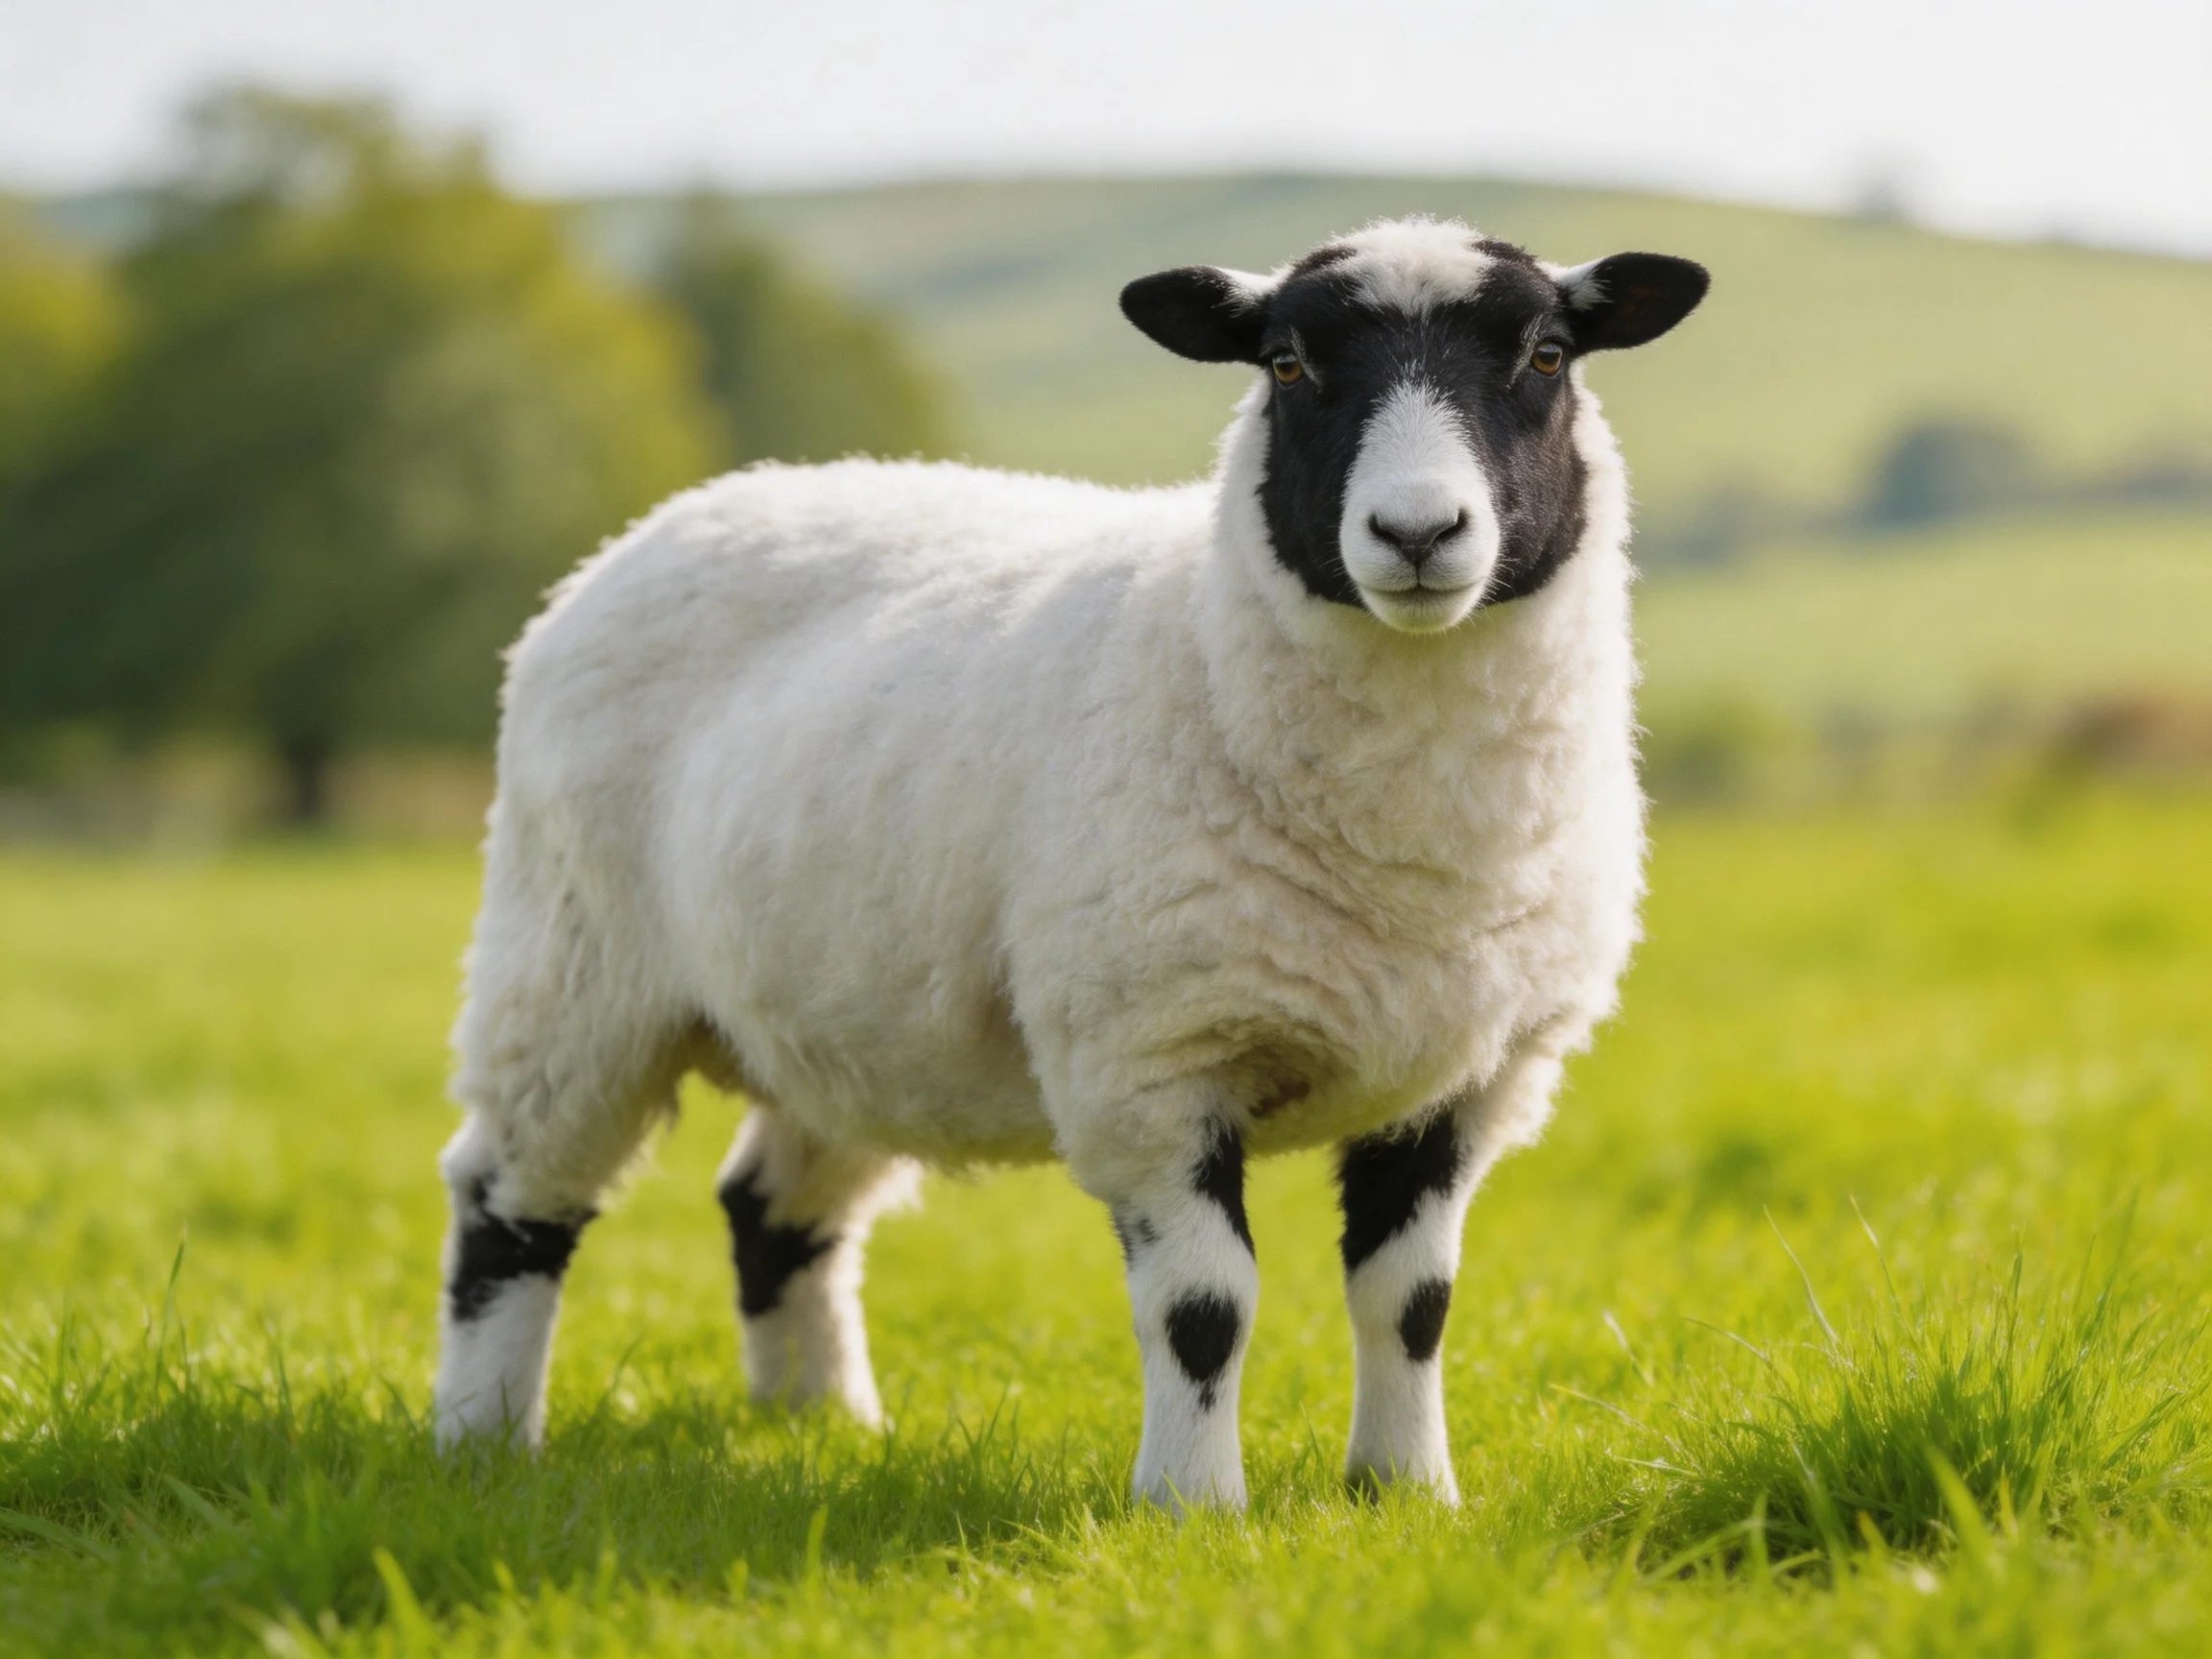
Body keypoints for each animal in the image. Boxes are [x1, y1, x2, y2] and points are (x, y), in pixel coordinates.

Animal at [432, 216, 1708, 1510]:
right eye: (1287, 363)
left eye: (1547, 355)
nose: (1416, 535)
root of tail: (670, 520)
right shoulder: (1149, 1057)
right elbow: (1205, 1305)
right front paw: (1194, 1507)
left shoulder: (1468, 1077)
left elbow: (1411, 1302)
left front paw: (1404, 1492)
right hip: (572, 964)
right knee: (509, 1202)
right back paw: (482, 1437)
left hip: (841, 1010)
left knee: (772, 1208)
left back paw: (823, 1423)